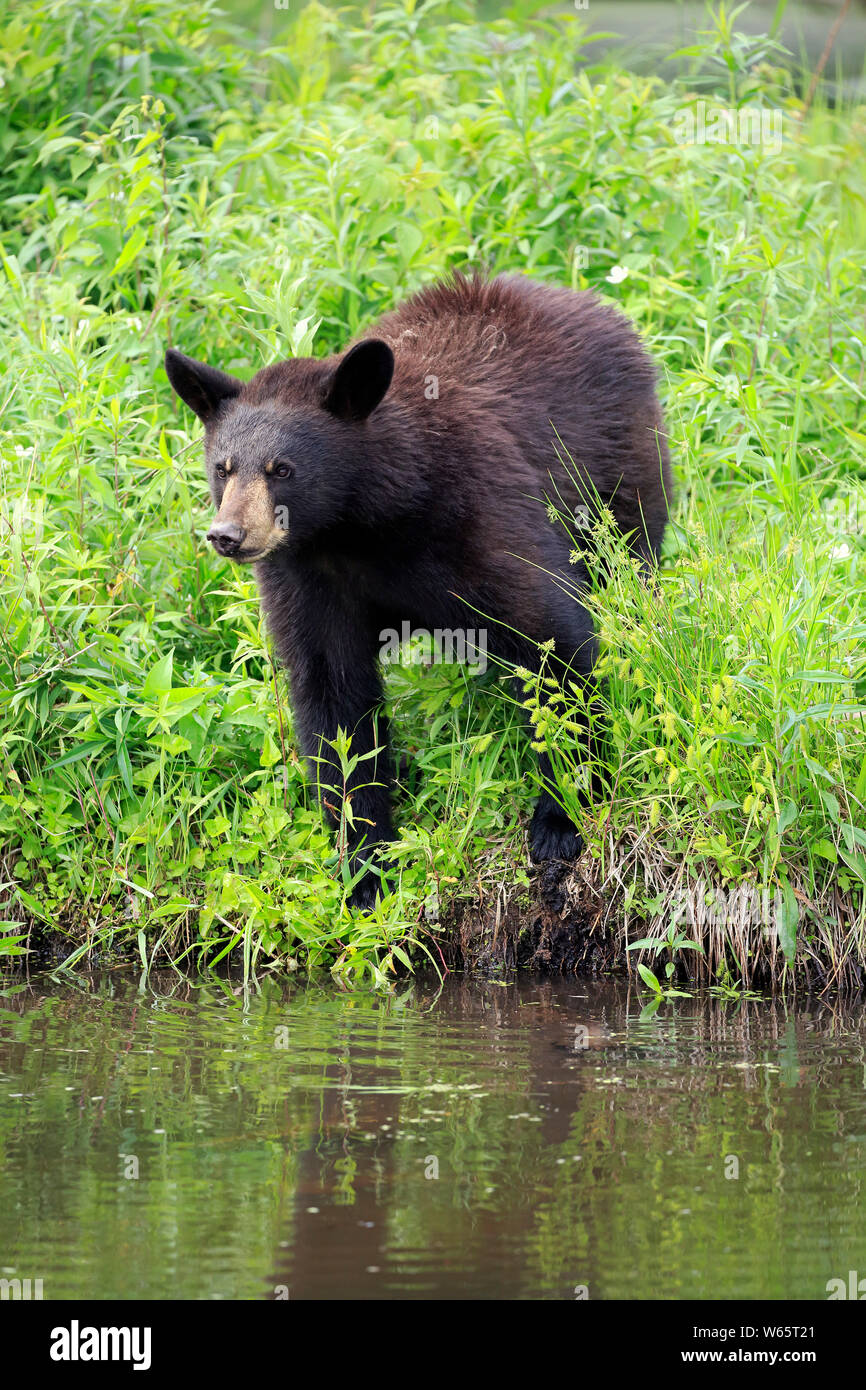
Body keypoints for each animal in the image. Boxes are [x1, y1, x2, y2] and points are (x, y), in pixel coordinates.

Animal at [166, 275, 675, 911]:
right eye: (223, 467)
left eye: (282, 468)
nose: (227, 535)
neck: (360, 524)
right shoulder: (306, 575)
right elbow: (335, 700)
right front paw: (365, 865)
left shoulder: (478, 512)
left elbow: (554, 638)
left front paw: (562, 816)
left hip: (618, 470)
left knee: (630, 557)